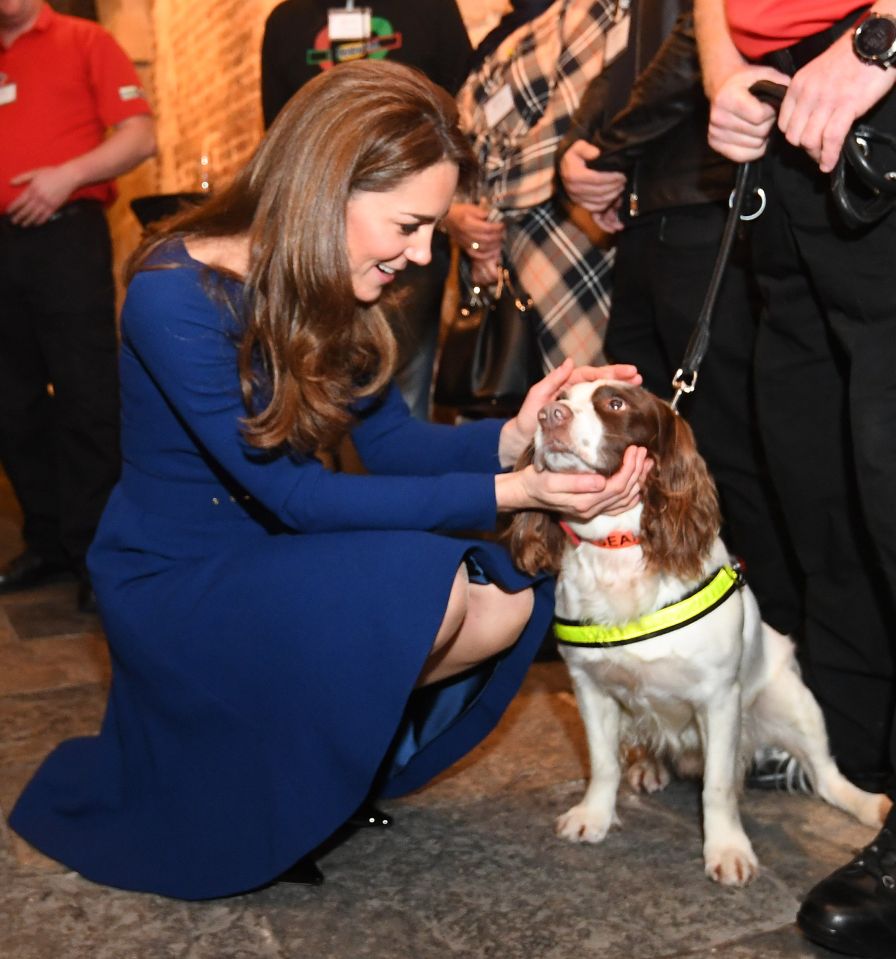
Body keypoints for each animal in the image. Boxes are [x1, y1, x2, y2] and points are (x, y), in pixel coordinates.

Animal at [512, 380, 888, 884]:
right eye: (561, 397)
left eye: (615, 403)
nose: (549, 416)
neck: (619, 549)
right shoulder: (591, 687)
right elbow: (603, 763)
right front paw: (594, 816)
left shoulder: (719, 699)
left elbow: (718, 787)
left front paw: (726, 849)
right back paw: (650, 768)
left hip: (793, 703)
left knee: (826, 776)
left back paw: (867, 805)